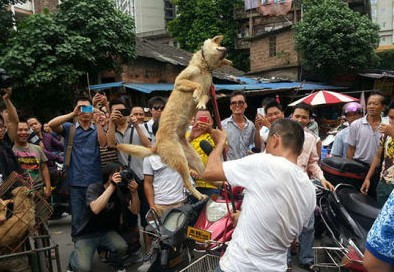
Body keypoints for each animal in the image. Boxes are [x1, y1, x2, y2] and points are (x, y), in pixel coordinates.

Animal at [118, 35, 232, 200]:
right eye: (219, 45)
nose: (228, 49)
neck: (205, 67)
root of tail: (155, 146)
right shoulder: (180, 81)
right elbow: (196, 86)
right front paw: (196, 95)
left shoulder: (208, 91)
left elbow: (203, 95)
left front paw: (200, 103)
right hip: (181, 160)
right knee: (187, 183)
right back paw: (200, 195)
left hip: (193, 158)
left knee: (205, 174)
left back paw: (220, 184)